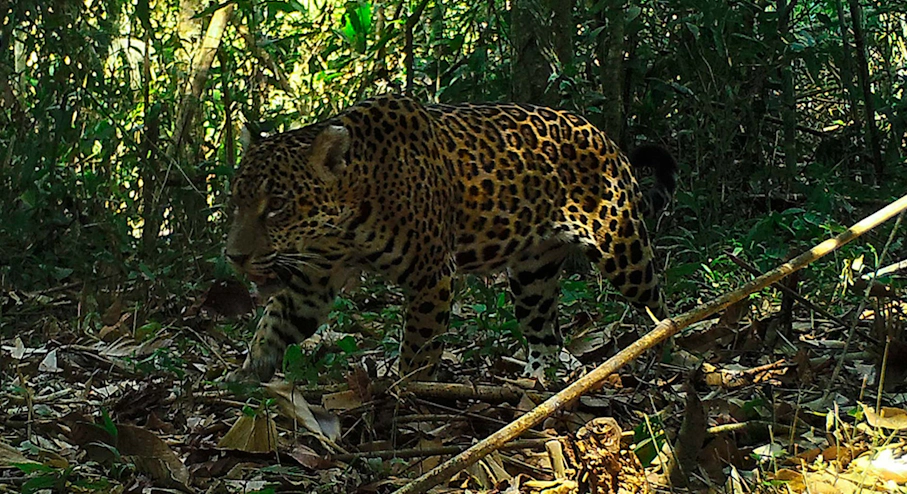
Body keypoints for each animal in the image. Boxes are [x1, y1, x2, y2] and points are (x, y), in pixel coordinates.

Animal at [224, 94, 677, 383]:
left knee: (657, 303)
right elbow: (274, 323)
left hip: (622, 247)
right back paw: (534, 385)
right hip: (533, 275)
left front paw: (406, 391)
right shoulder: (312, 282)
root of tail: (606, 138)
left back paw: (665, 355)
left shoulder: (432, 275)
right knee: (545, 335)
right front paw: (248, 374)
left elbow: (419, 347)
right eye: (237, 200)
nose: (234, 257)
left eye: (277, 205)